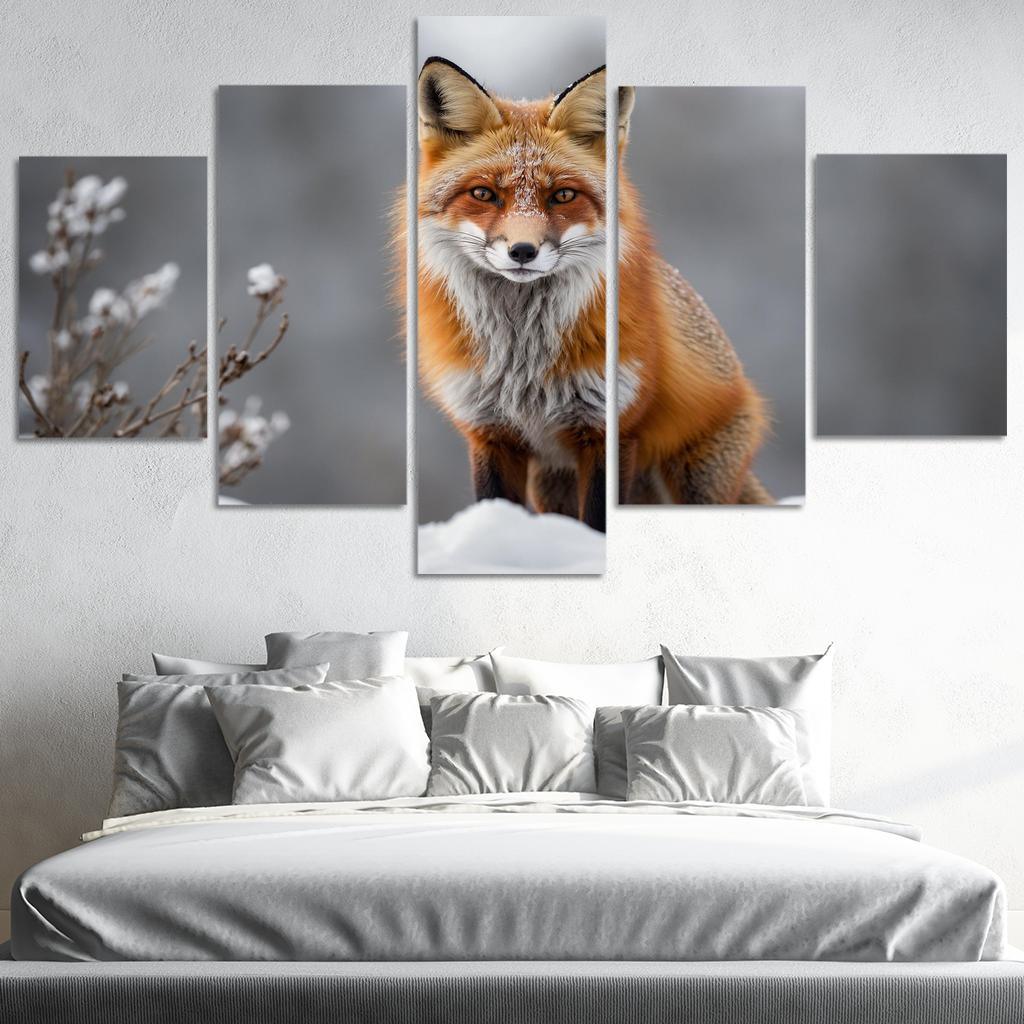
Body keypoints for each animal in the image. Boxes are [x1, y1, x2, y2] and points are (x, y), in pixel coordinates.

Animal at [409, 58, 772, 532]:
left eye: (563, 195)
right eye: (484, 194)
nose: (522, 251)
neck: (522, 360)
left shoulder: (608, 429)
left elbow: (598, 520)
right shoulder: (491, 433)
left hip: (695, 482)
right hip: (551, 485)